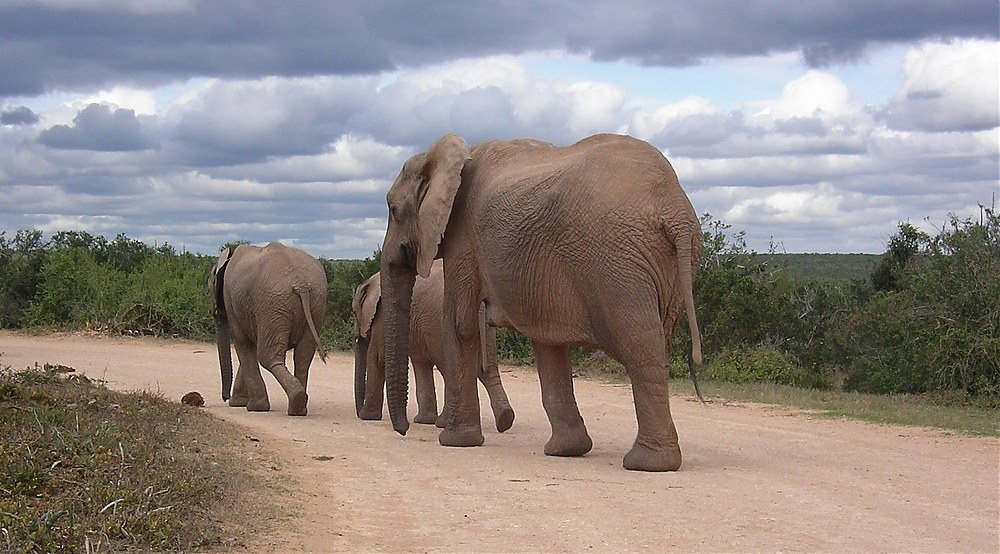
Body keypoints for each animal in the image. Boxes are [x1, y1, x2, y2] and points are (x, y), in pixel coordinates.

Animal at [208, 242, 328, 414]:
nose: (225, 398)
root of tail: (301, 283)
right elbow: (250, 346)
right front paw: (240, 403)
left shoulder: (230, 298)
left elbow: (243, 342)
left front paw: (252, 406)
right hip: (314, 303)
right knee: (303, 356)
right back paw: (298, 408)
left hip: (273, 304)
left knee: (267, 356)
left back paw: (294, 402)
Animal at [352, 258, 516, 432]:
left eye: (354, 312)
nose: (359, 412)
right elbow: (421, 363)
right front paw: (424, 421)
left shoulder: (383, 315)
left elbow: (377, 358)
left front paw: (368, 416)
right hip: (485, 328)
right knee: (487, 369)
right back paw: (504, 420)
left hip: (439, 324)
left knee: (451, 369)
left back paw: (443, 423)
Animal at [380, 132, 704, 468]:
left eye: (393, 209)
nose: (403, 430)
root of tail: (675, 210)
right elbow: (547, 340)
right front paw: (567, 451)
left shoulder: (463, 236)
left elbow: (460, 324)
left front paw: (455, 442)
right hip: (669, 263)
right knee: (658, 343)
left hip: (616, 261)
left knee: (639, 345)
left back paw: (647, 464)